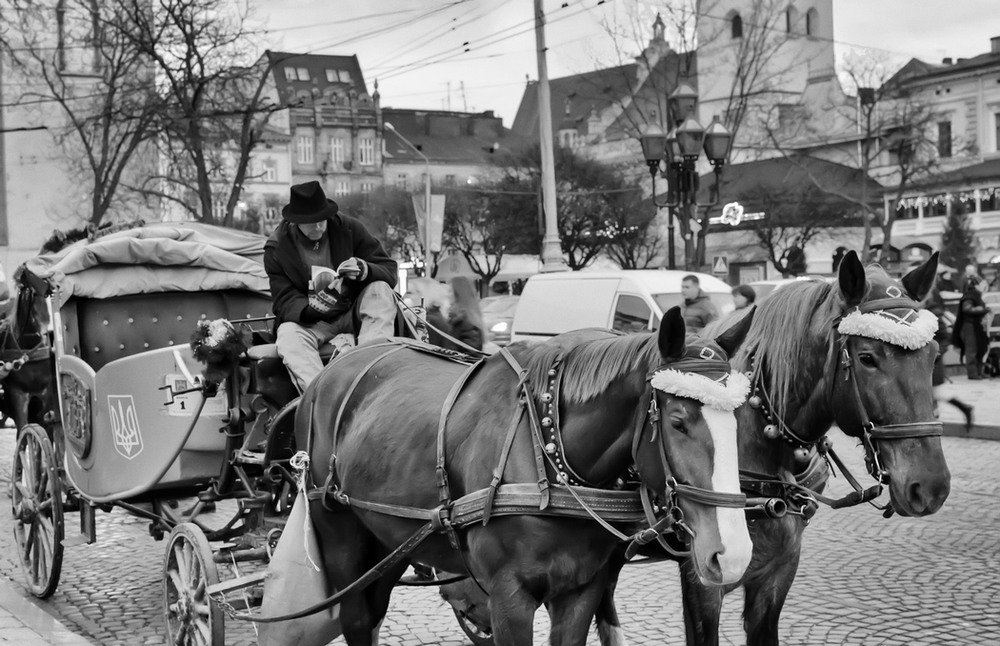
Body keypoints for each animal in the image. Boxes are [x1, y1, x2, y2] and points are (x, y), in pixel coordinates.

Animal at [278, 308, 752, 646]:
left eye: (738, 420)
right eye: (677, 421)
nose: (733, 554)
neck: (552, 458)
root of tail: (328, 374)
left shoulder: (581, 589)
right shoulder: (509, 598)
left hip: (388, 543)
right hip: (340, 534)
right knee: (357, 619)